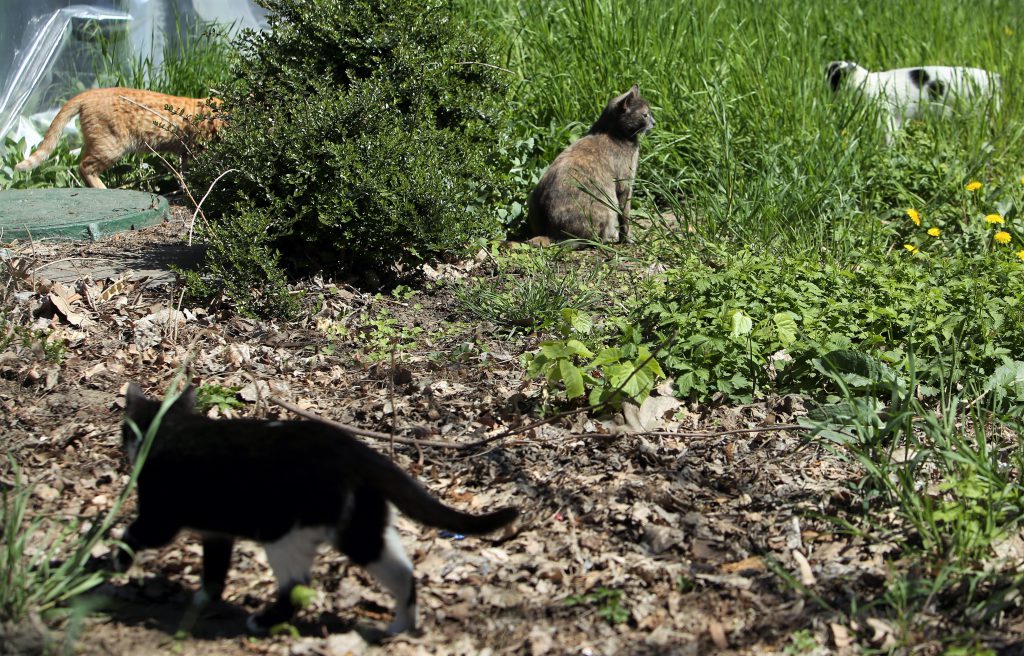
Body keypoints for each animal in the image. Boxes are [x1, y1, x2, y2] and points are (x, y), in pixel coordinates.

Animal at [14, 88, 223, 188]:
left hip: (95, 143)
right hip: (111, 146)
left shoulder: (186, 153)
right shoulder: (198, 149)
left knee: (81, 163)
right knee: (84, 166)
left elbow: (184, 172)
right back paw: (101, 188)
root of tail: (90, 92)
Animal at [117, 384, 520, 634]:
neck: (171, 428)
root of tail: (354, 448)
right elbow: (215, 570)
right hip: (360, 526)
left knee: (297, 586)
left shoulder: (160, 516)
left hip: (285, 533)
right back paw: (398, 629)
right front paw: (203, 598)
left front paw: (114, 565)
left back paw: (262, 622)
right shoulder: (217, 534)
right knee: (403, 572)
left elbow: (130, 535)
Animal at [528, 83, 655, 243]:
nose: (654, 122)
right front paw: (627, 239)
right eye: (645, 115)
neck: (612, 133)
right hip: (607, 206)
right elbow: (625, 217)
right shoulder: (625, 184)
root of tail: (548, 232)